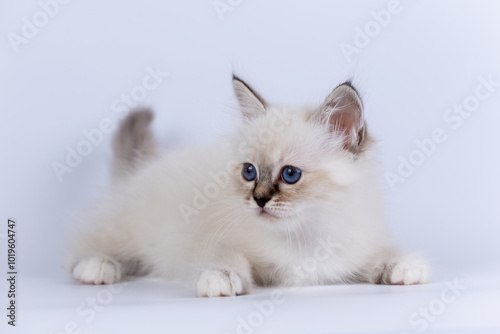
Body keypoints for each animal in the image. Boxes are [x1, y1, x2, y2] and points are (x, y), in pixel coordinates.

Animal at [68, 75, 432, 298]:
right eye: (249, 172)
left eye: (290, 175)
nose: (258, 200)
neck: (305, 236)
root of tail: (142, 168)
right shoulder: (213, 240)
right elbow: (230, 259)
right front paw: (220, 279)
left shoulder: (354, 249)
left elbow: (380, 256)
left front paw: (403, 266)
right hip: (123, 228)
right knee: (86, 245)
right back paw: (97, 268)